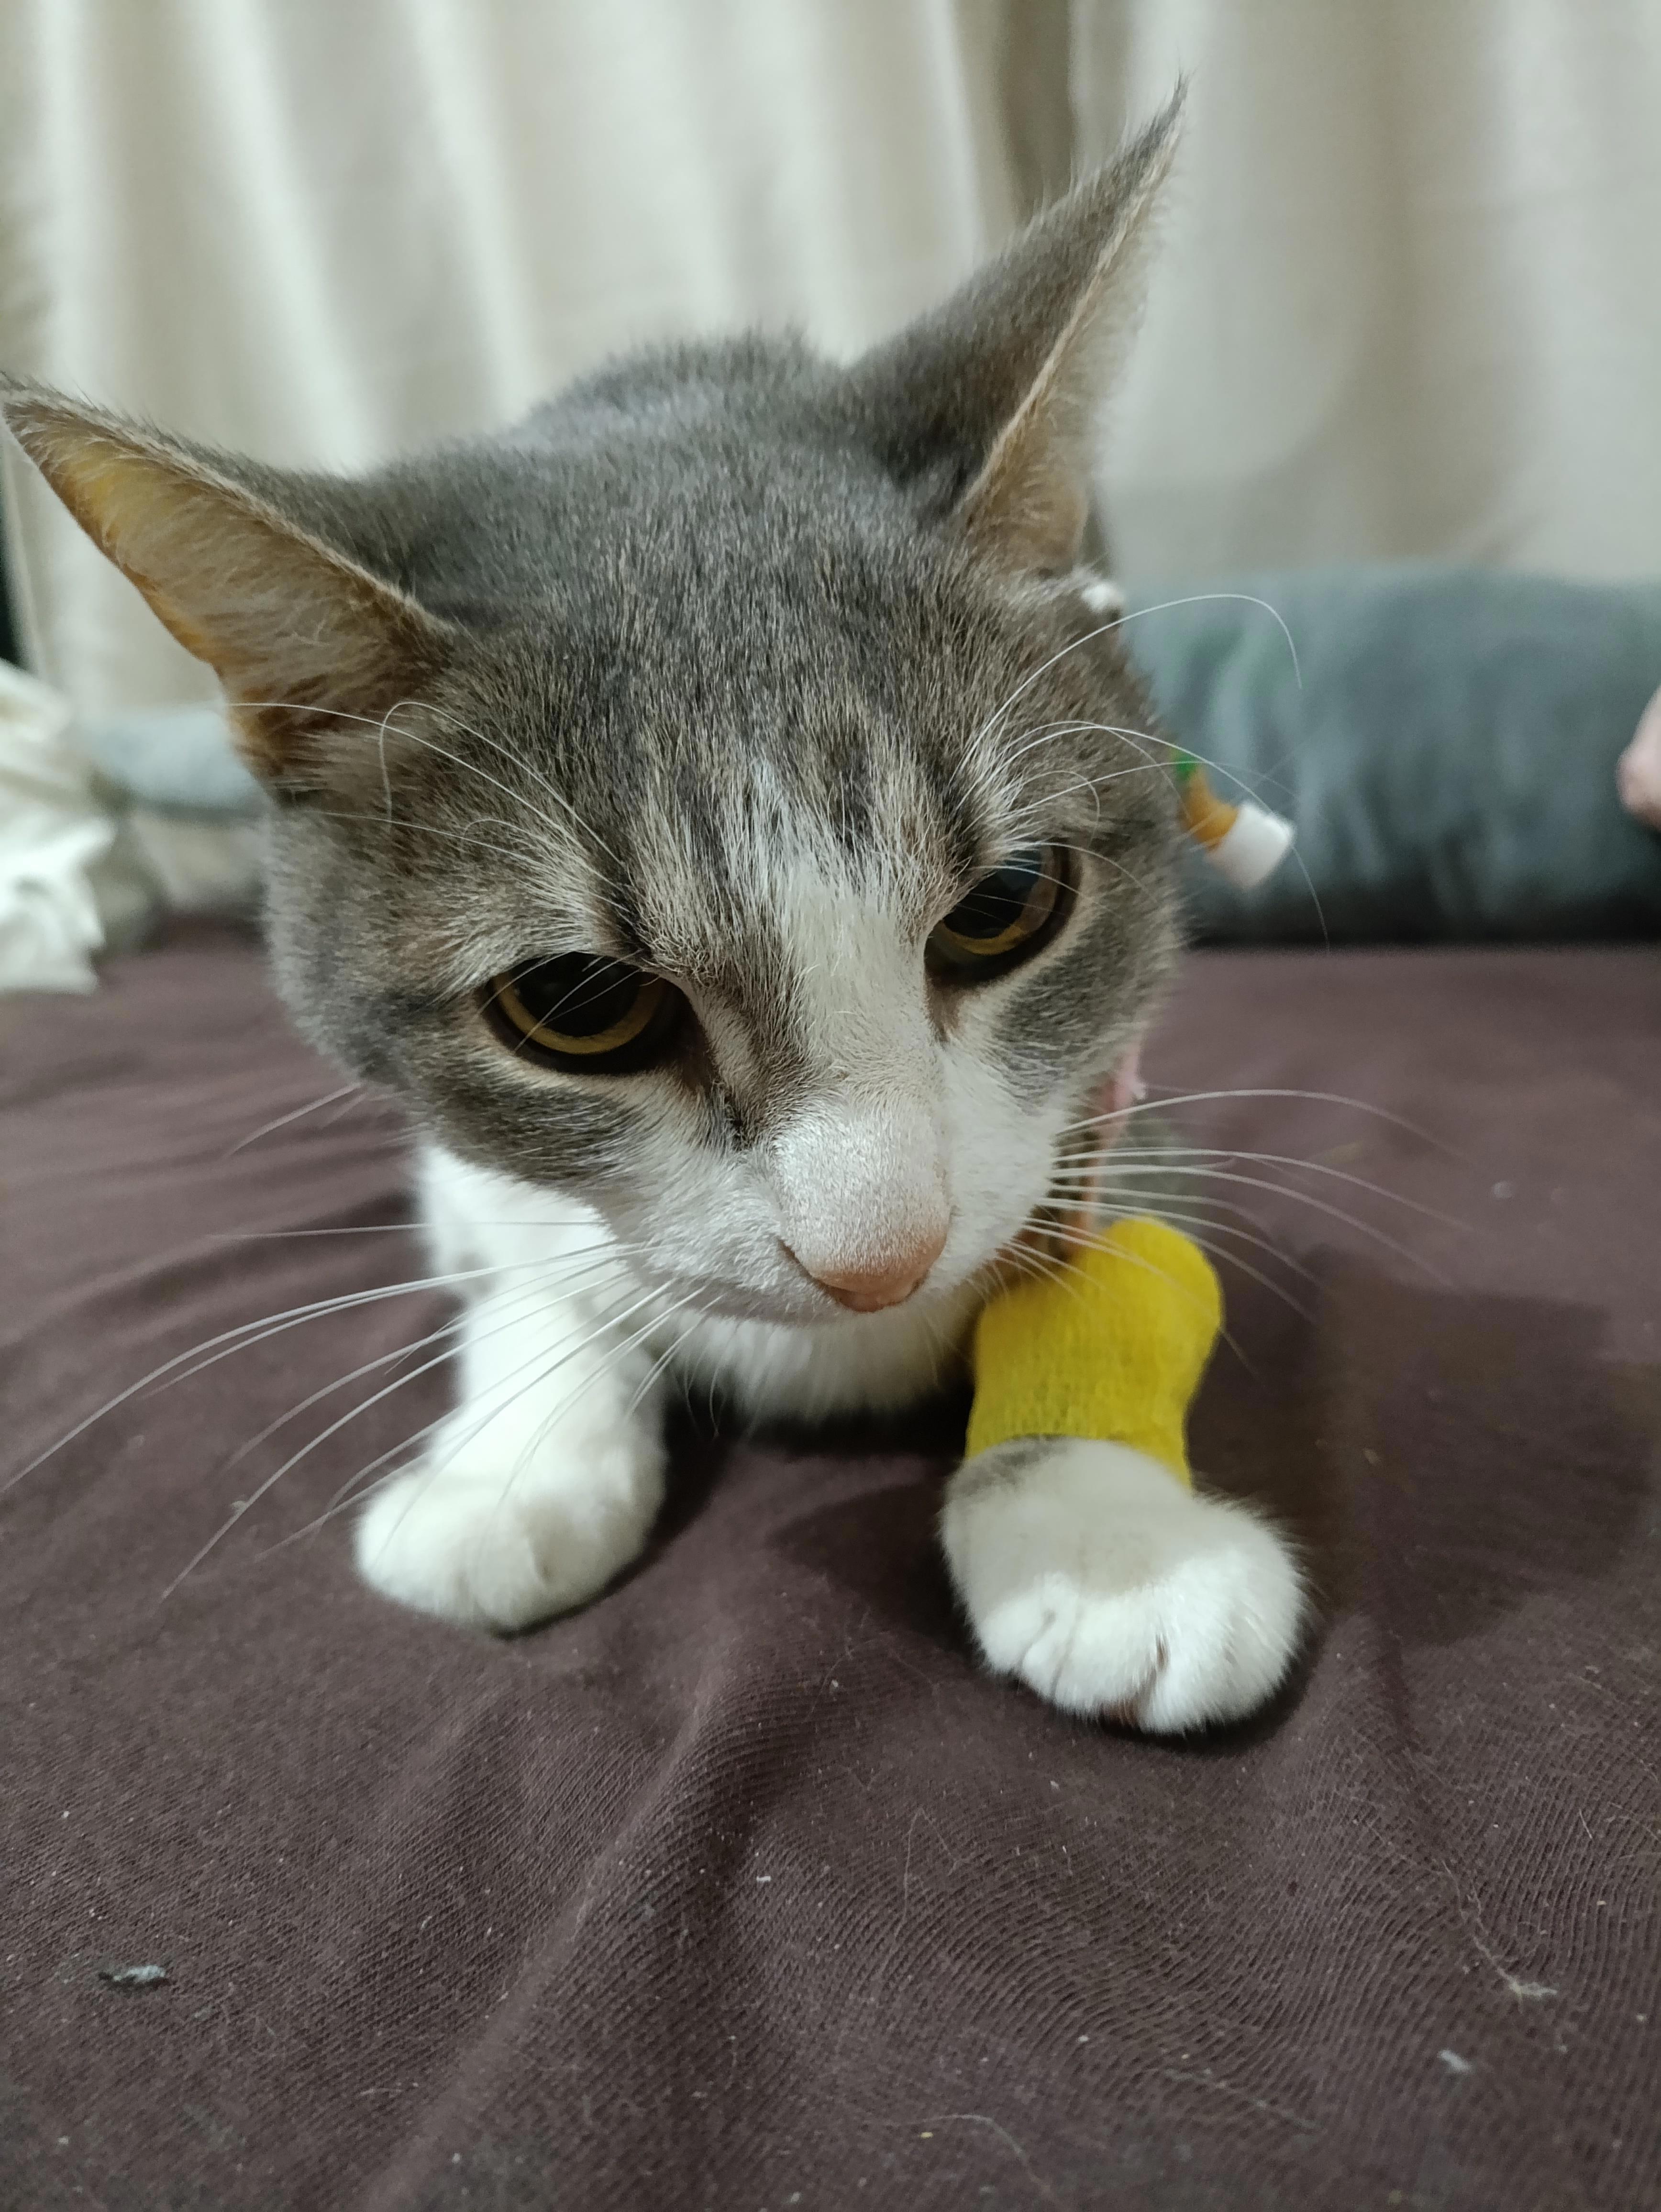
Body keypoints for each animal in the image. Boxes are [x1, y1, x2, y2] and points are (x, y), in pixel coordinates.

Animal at [1, 98, 1305, 1732]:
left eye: (1006, 906)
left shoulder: (1105, 1086)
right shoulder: (461, 1171)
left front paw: (1108, 1535)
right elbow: (529, 1251)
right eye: (580, 1006)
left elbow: (1120, 1239)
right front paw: (509, 1469)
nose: (877, 1258)